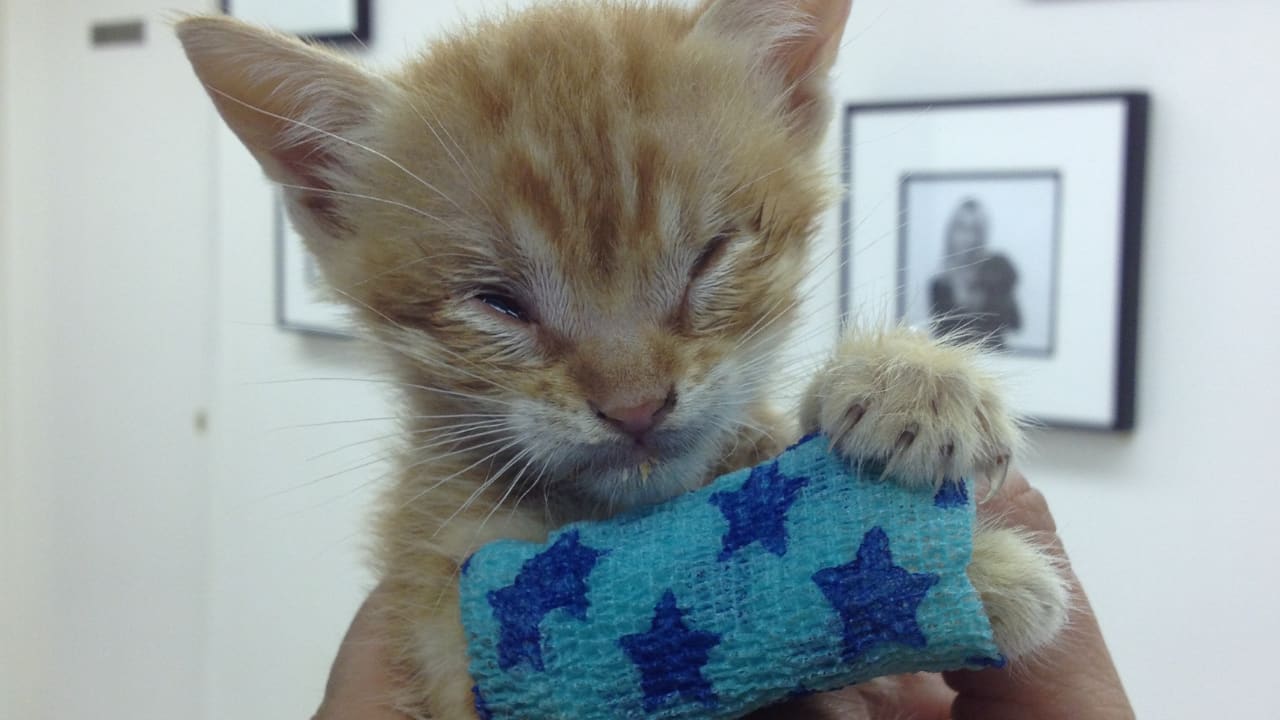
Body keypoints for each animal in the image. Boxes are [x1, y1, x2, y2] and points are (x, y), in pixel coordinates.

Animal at [176, 1, 1068, 717]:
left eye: (709, 257)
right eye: (498, 303)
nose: (636, 405)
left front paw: (911, 382)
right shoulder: (449, 621)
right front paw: (979, 574)